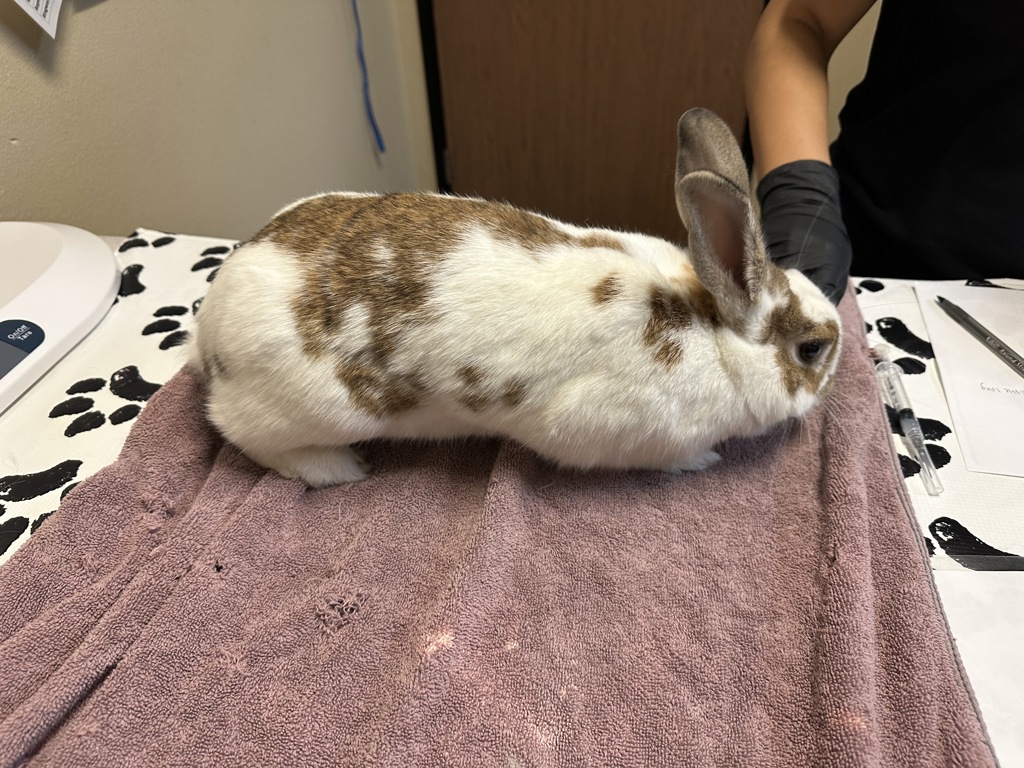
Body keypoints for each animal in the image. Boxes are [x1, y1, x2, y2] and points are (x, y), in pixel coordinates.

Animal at [189, 108, 842, 488]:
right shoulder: (613, 430)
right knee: (247, 437)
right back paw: (341, 470)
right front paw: (701, 461)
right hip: (302, 410)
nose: (835, 358)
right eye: (811, 350)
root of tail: (209, 330)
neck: (709, 327)